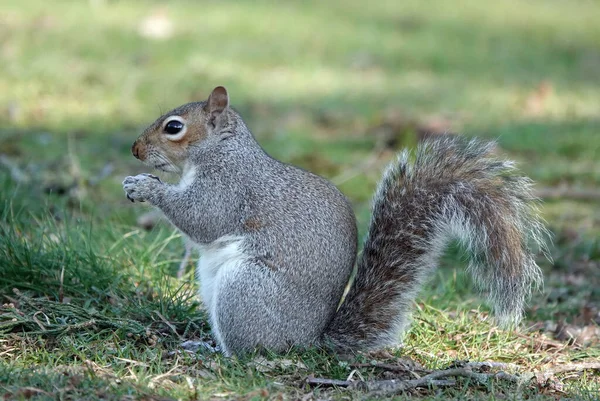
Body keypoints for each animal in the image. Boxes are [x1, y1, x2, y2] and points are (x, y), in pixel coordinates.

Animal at [124, 86, 552, 354]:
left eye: (174, 127)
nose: (135, 149)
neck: (220, 150)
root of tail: (309, 342)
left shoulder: (230, 187)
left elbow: (203, 218)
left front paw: (146, 187)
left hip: (245, 290)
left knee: (248, 351)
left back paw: (217, 354)